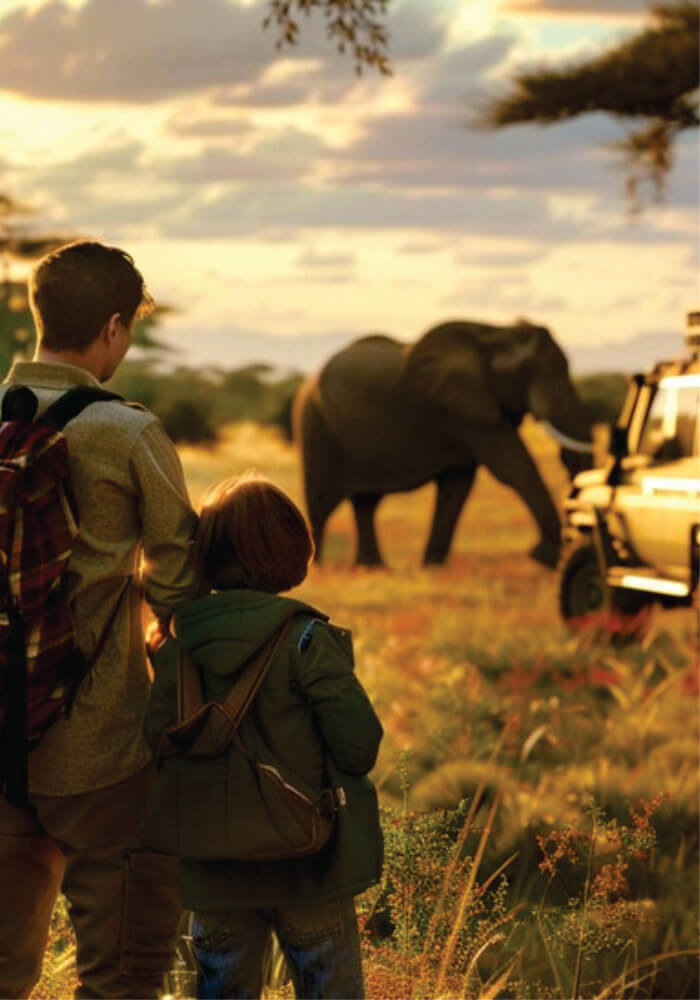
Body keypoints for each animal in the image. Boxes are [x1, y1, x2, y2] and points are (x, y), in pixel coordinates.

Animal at [292, 320, 592, 572]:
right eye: (548, 377)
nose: (573, 546)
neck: (495, 333)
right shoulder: (463, 411)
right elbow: (512, 466)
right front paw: (547, 558)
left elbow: (458, 485)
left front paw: (433, 567)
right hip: (314, 424)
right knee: (321, 503)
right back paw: (317, 570)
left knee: (366, 502)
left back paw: (372, 569)